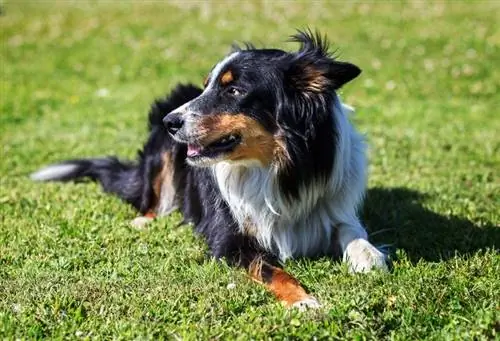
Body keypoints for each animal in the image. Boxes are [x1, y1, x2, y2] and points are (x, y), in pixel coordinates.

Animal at [32, 30, 386, 308]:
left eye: (234, 90)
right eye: (208, 87)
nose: (171, 122)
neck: (277, 169)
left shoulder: (334, 203)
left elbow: (352, 231)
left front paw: (369, 256)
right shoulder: (229, 239)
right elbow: (275, 271)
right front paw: (303, 301)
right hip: (160, 155)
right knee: (151, 198)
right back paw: (144, 220)